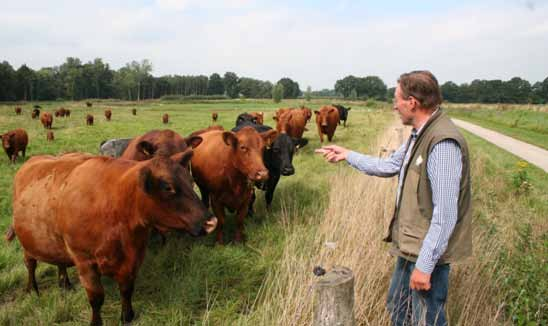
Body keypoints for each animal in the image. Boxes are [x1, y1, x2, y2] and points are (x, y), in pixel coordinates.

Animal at [7, 152, 216, 324]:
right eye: (168, 187)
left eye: (190, 181)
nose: (211, 221)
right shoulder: (84, 261)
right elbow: (96, 298)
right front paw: (96, 322)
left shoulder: (133, 259)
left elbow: (126, 289)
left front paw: (127, 316)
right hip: (28, 243)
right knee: (30, 264)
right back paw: (32, 289)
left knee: (60, 262)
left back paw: (65, 284)